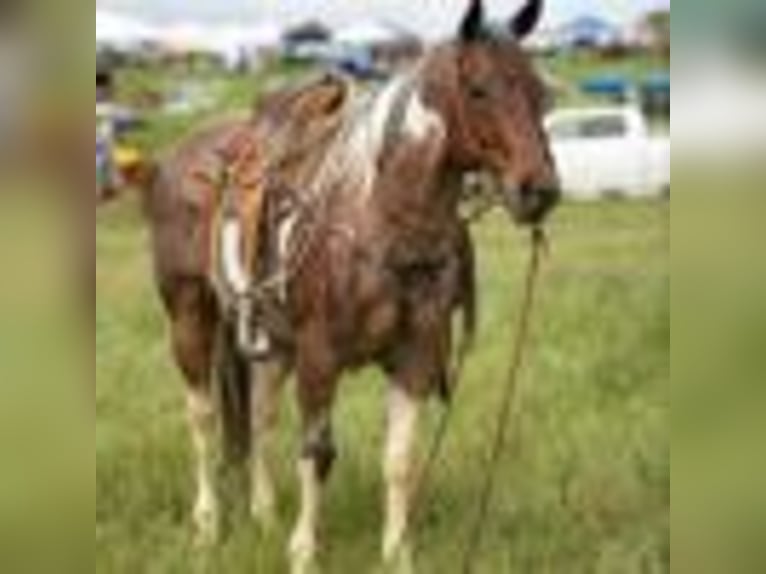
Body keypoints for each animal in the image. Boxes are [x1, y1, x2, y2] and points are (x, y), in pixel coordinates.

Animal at [143, 1, 560, 571]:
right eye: (478, 89)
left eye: (541, 92)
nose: (539, 189)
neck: (379, 219)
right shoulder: (320, 355)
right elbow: (317, 452)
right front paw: (303, 553)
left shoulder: (416, 356)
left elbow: (400, 459)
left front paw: (398, 554)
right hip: (189, 314)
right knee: (203, 416)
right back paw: (207, 523)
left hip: (271, 343)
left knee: (258, 417)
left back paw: (263, 513)